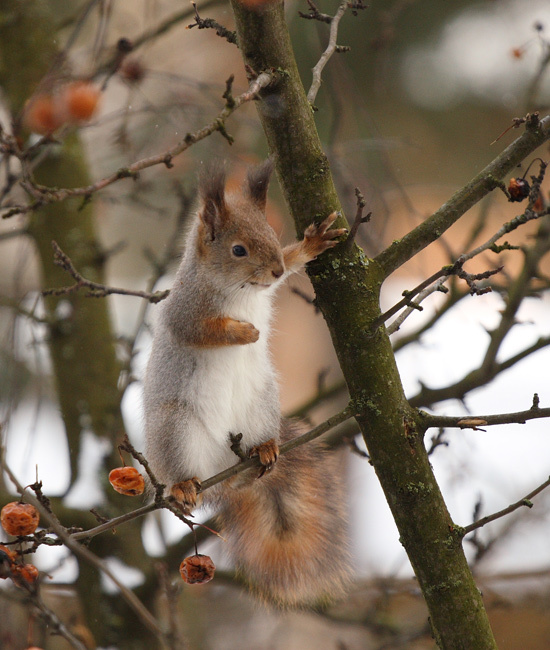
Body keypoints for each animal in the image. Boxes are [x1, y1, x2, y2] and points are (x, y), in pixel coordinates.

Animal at [143, 158, 351, 606]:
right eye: (238, 249)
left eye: (273, 236)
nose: (274, 269)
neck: (234, 288)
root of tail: (224, 472)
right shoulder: (185, 309)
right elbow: (200, 331)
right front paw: (245, 332)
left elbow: (293, 262)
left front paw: (309, 245)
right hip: (176, 430)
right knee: (184, 472)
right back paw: (183, 487)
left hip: (261, 404)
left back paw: (265, 450)